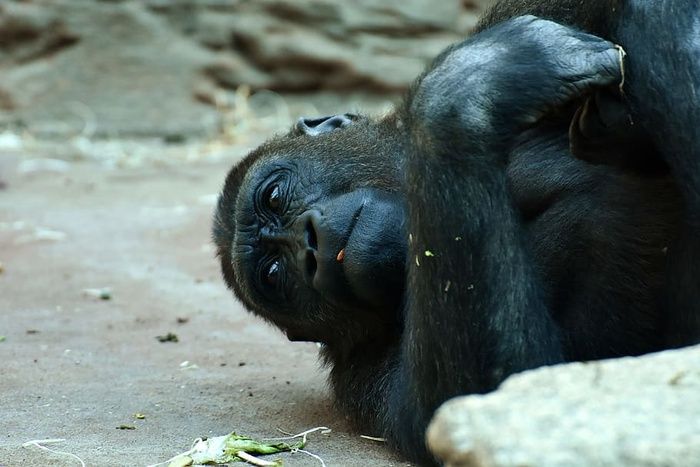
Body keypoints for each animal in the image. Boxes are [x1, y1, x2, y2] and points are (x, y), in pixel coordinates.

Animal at [212, 0, 700, 464]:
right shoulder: (363, 382)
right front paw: (478, 78)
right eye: (275, 275)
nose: (310, 247)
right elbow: (498, 390)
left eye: (275, 195)